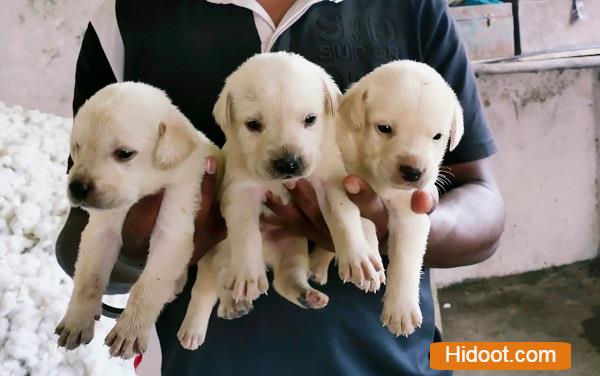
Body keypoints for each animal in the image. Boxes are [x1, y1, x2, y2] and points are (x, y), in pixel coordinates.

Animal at [55, 82, 219, 358]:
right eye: (77, 147)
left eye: (124, 153)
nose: (76, 188)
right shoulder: (101, 232)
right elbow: (89, 279)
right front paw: (77, 320)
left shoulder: (172, 234)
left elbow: (147, 288)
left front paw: (129, 332)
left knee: (205, 288)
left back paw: (193, 329)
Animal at [176, 52, 386, 350]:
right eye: (253, 125)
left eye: (310, 119)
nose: (288, 163)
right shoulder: (240, 190)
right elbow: (246, 234)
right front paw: (248, 274)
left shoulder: (331, 182)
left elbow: (345, 220)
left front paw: (358, 258)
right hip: (212, 254)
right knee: (206, 288)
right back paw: (196, 326)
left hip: (292, 248)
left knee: (284, 280)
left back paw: (305, 296)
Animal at [338, 60, 464, 336]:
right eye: (384, 128)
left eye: (437, 136)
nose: (413, 172)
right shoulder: (351, 180)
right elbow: (363, 221)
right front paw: (369, 265)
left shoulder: (412, 216)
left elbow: (406, 258)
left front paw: (401, 310)